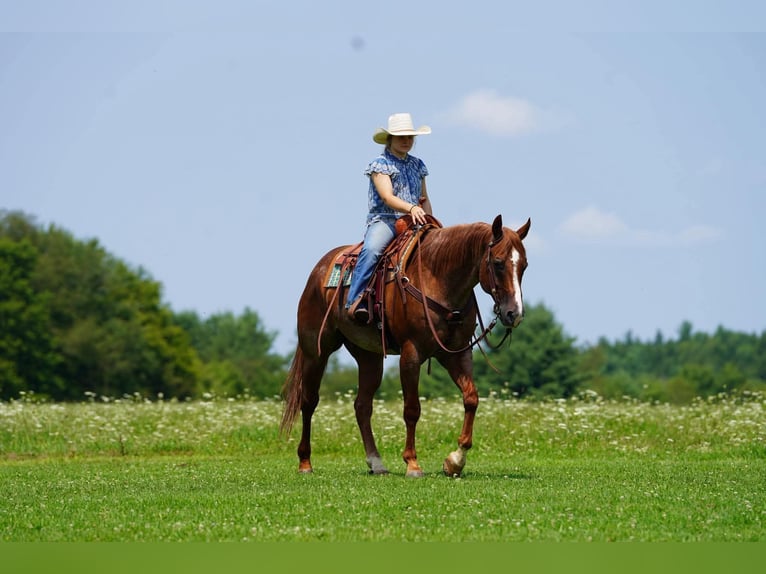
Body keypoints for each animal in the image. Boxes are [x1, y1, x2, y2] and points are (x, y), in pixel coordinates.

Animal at [280, 214, 531, 477]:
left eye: (524, 265)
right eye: (499, 263)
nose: (514, 314)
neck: (437, 278)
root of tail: (319, 270)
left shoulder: (457, 354)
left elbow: (471, 398)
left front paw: (455, 460)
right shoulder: (411, 353)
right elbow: (412, 409)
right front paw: (412, 463)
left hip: (369, 357)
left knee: (362, 406)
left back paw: (376, 463)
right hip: (316, 352)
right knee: (308, 401)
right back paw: (305, 462)